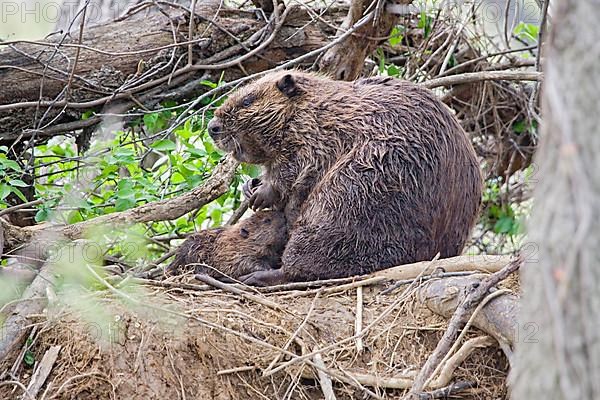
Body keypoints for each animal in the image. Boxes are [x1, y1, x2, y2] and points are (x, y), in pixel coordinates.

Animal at [207, 71, 482, 284]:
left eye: (247, 100)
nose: (212, 127)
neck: (319, 105)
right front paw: (250, 186)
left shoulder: (318, 132)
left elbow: (297, 168)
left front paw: (262, 193)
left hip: (357, 191)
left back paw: (260, 276)